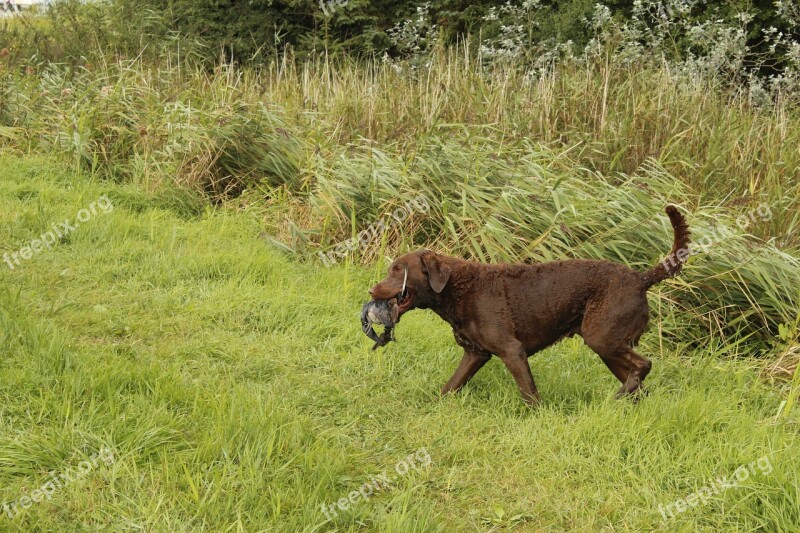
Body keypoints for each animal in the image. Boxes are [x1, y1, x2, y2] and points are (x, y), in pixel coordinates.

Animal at [368, 206, 688, 406]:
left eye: (398, 270)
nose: (371, 289)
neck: (458, 288)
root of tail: (640, 278)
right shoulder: (475, 353)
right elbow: (450, 386)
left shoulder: (512, 351)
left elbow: (530, 394)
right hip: (609, 346)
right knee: (639, 382)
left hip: (603, 338)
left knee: (644, 365)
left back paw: (619, 397)